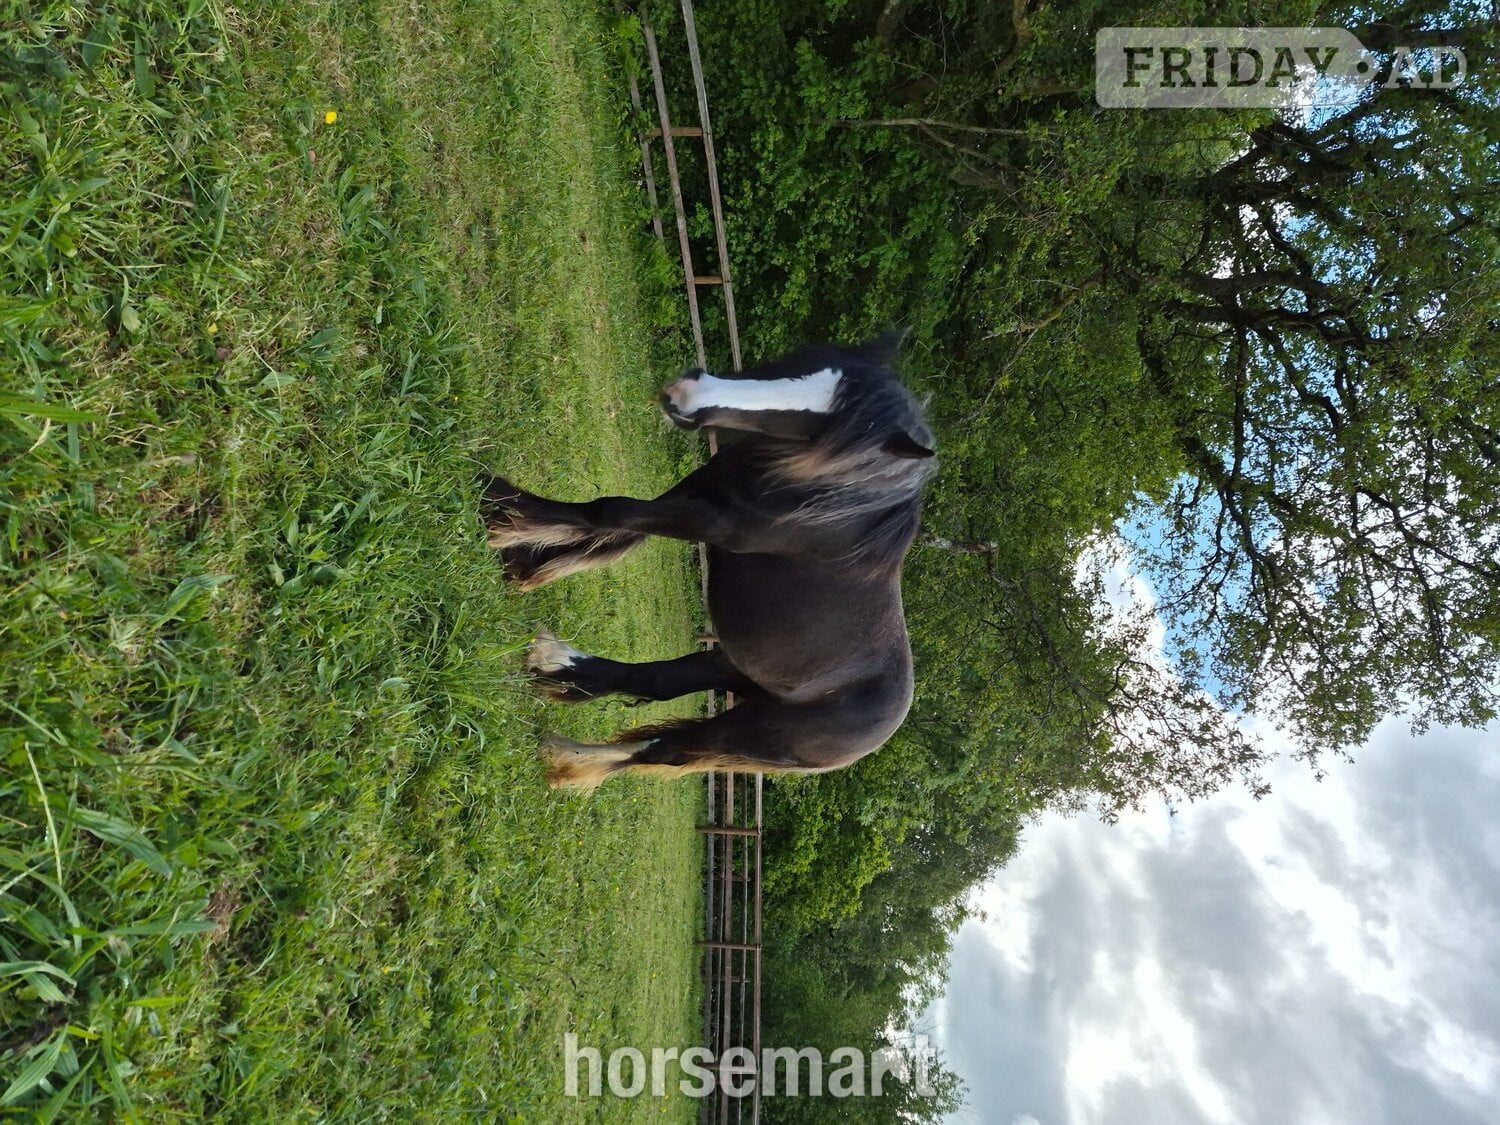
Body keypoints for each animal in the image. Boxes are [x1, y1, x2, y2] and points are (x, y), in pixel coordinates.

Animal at [481, 332, 936, 788]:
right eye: (806, 357)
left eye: (823, 430)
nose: (686, 394)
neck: (832, 501)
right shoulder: (696, 490)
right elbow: (614, 532)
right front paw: (523, 554)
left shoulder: (707, 521)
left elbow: (609, 513)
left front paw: (502, 517)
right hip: (730, 666)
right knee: (656, 680)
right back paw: (555, 664)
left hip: (752, 731)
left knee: (666, 751)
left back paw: (569, 759)